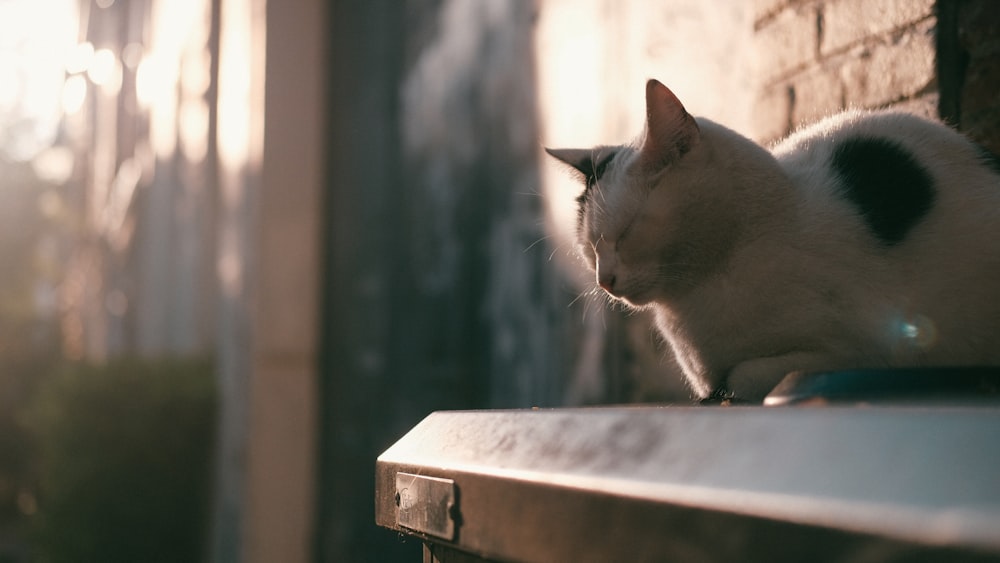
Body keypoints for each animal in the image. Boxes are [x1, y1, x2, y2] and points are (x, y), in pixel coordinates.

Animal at [552, 80, 1000, 406]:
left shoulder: (871, 349)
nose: (605, 280)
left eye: (626, 232)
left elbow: (746, 373)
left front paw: (728, 390)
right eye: (591, 247)